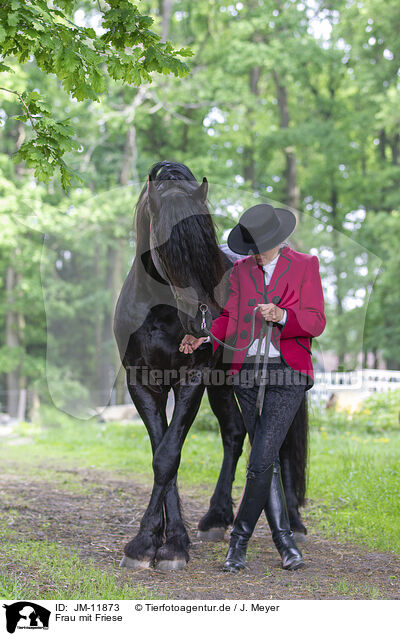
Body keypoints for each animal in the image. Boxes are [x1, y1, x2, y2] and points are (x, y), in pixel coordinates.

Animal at [114, 160, 308, 572]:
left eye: (205, 243)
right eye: (164, 244)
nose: (200, 320)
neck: (158, 313)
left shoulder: (192, 379)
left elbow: (168, 455)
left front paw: (164, 545)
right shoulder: (142, 383)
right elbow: (162, 454)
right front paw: (156, 541)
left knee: (280, 446)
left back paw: (295, 525)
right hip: (222, 385)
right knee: (235, 434)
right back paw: (217, 518)